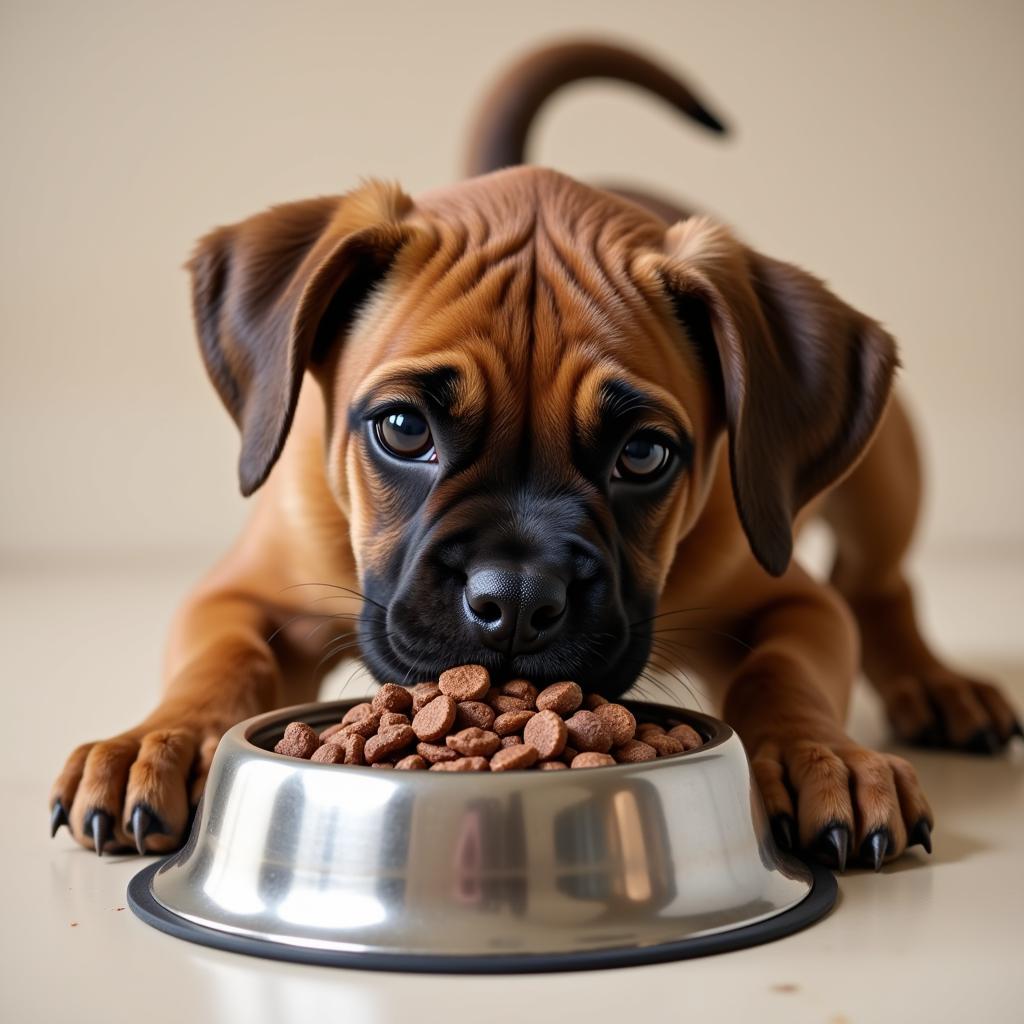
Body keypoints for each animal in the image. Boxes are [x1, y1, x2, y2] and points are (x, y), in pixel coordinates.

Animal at [51, 44, 1019, 868]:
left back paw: (936, 683)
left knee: (879, 583)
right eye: (403, 430)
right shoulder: (241, 594)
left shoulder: (794, 603)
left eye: (644, 454)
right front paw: (159, 740)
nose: (514, 602)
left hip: (886, 471)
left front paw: (826, 755)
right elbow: (220, 664)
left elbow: (785, 673)